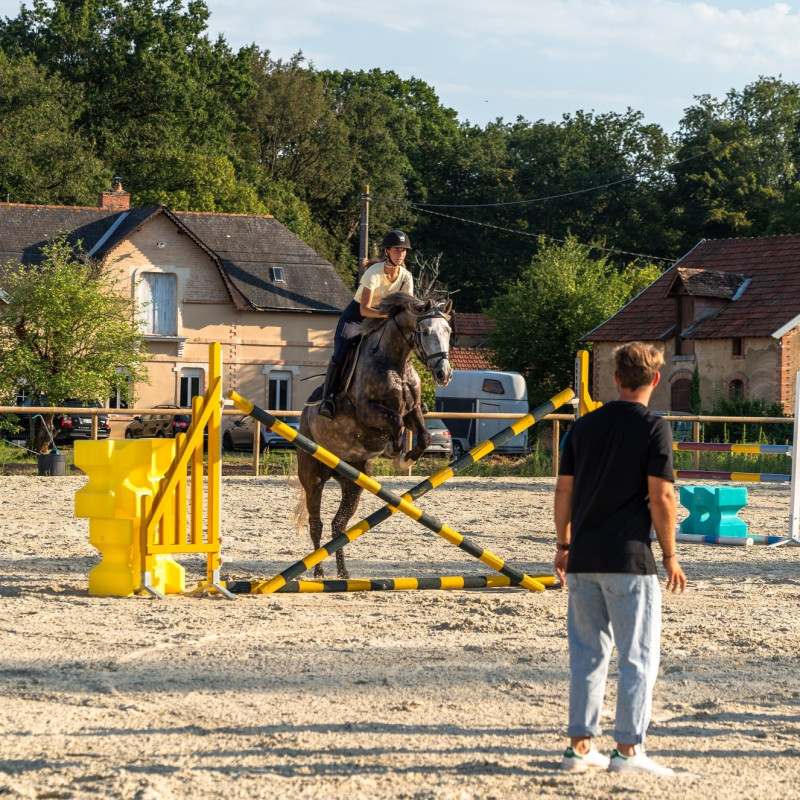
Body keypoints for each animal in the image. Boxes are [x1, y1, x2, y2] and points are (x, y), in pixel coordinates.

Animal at [296, 290, 454, 580]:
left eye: (448, 331)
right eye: (425, 331)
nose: (443, 374)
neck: (397, 363)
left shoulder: (413, 409)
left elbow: (423, 435)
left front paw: (406, 458)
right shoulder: (367, 411)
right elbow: (395, 423)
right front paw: (395, 450)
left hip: (355, 480)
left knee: (338, 525)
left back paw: (344, 574)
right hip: (313, 476)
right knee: (316, 522)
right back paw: (320, 573)